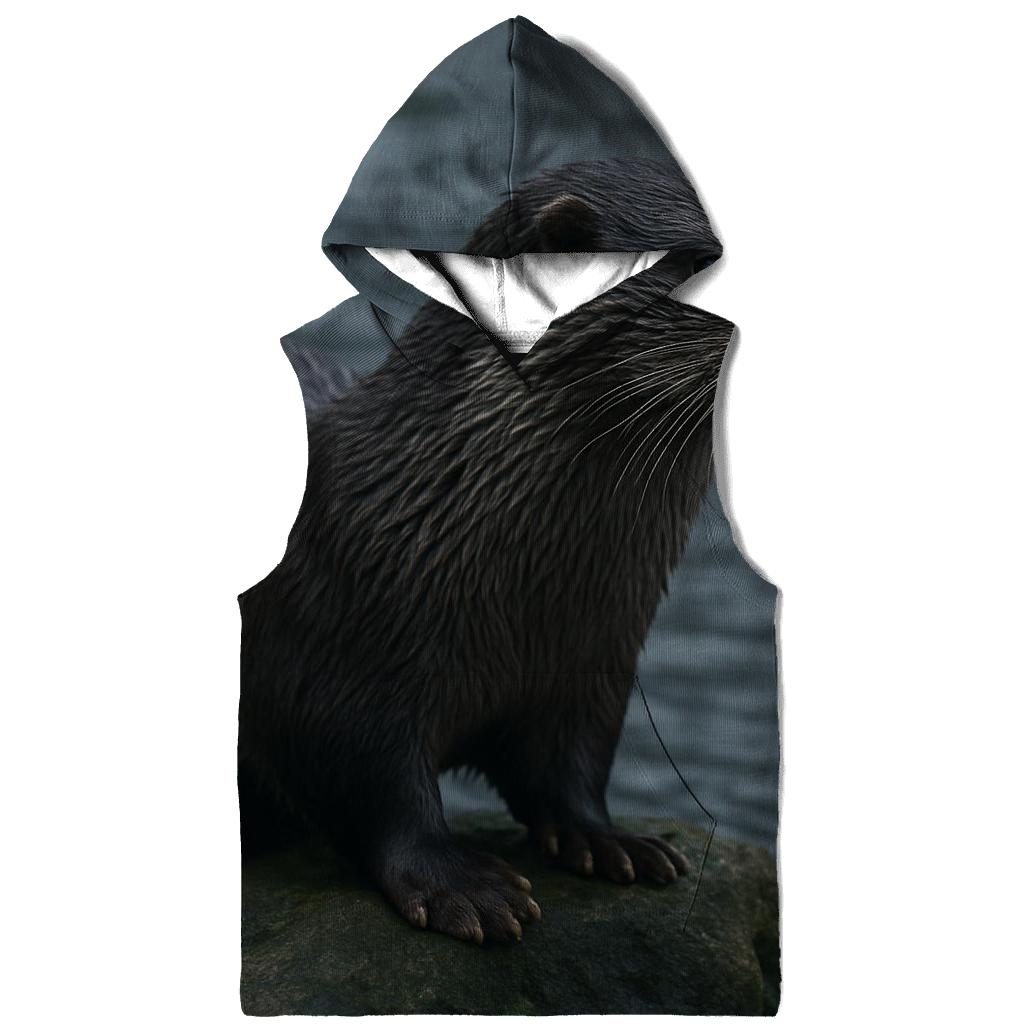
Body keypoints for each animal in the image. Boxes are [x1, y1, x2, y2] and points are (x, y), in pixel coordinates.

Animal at [240, 158, 732, 944]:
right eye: (693, 269)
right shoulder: (331, 650)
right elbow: (372, 785)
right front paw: (463, 887)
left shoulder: (592, 666)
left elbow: (571, 768)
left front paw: (610, 840)